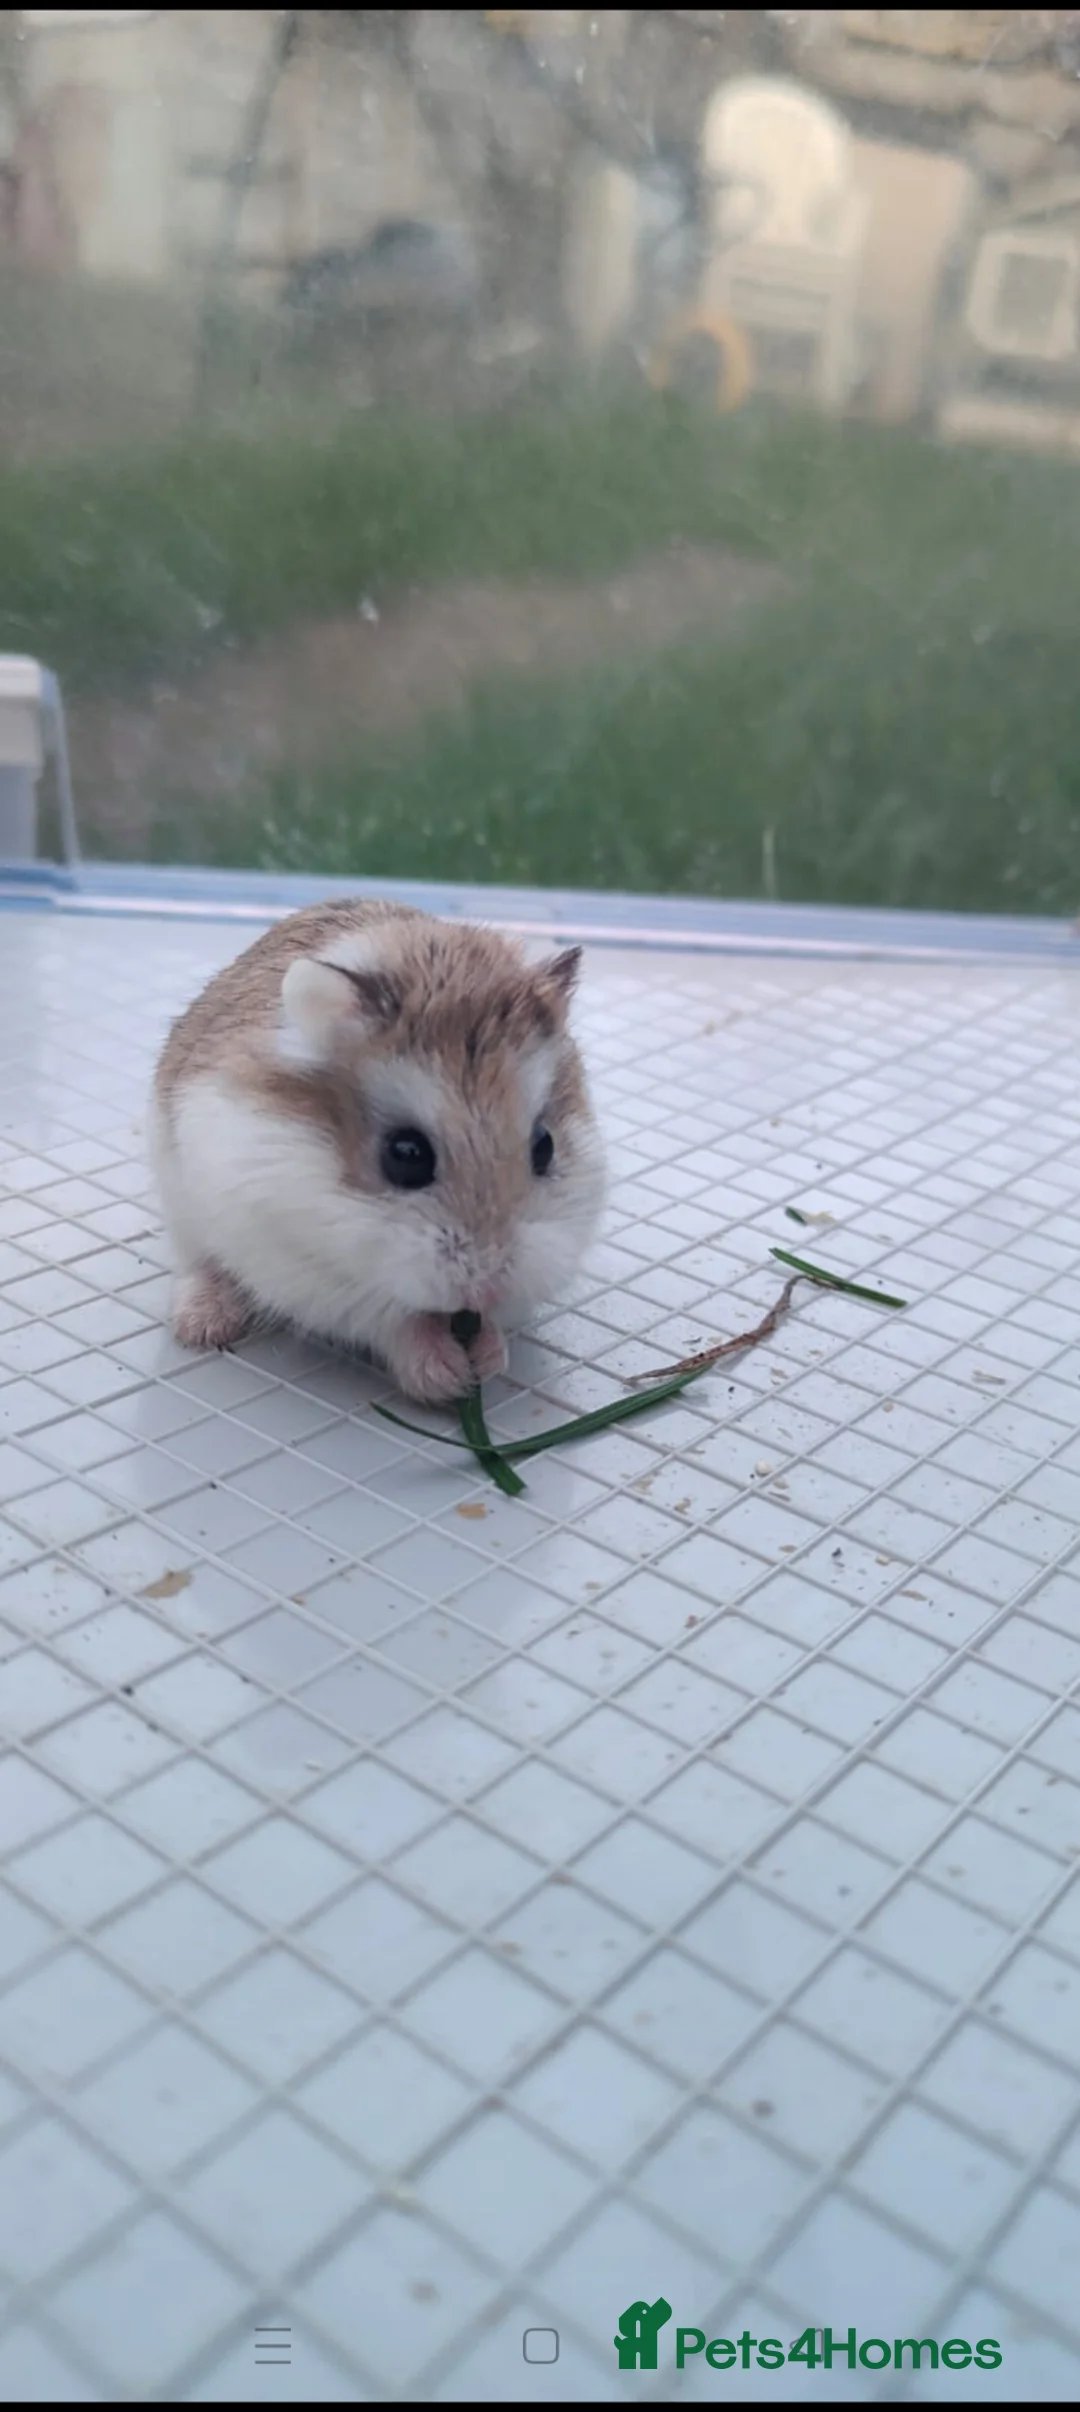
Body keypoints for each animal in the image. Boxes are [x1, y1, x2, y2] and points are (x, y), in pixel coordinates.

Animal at [149, 898, 606, 1403]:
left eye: (545, 1146)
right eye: (406, 1155)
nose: (488, 1290)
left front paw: (488, 1358)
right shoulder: (309, 1273)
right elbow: (392, 1323)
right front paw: (449, 1375)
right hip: (181, 1207)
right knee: (199, 1264)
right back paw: (202, 1327)